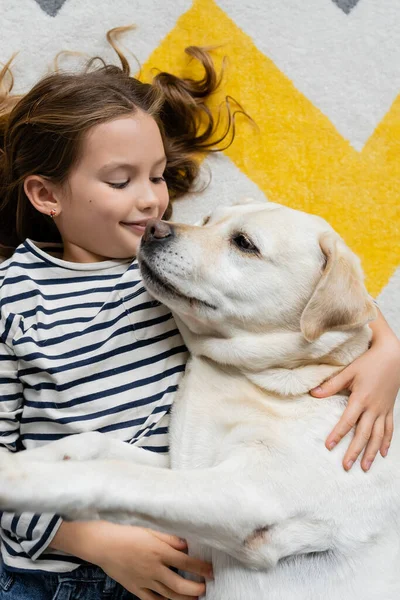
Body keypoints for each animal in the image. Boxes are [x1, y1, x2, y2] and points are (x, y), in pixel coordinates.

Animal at [0, 203, 400, 600]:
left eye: (244, 243)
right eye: (208, 220)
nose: (153, 228)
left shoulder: (247, 495)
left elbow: (112, 476)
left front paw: (19, 481)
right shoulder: (182, 461)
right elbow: (91, 444)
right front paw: (26, 463)